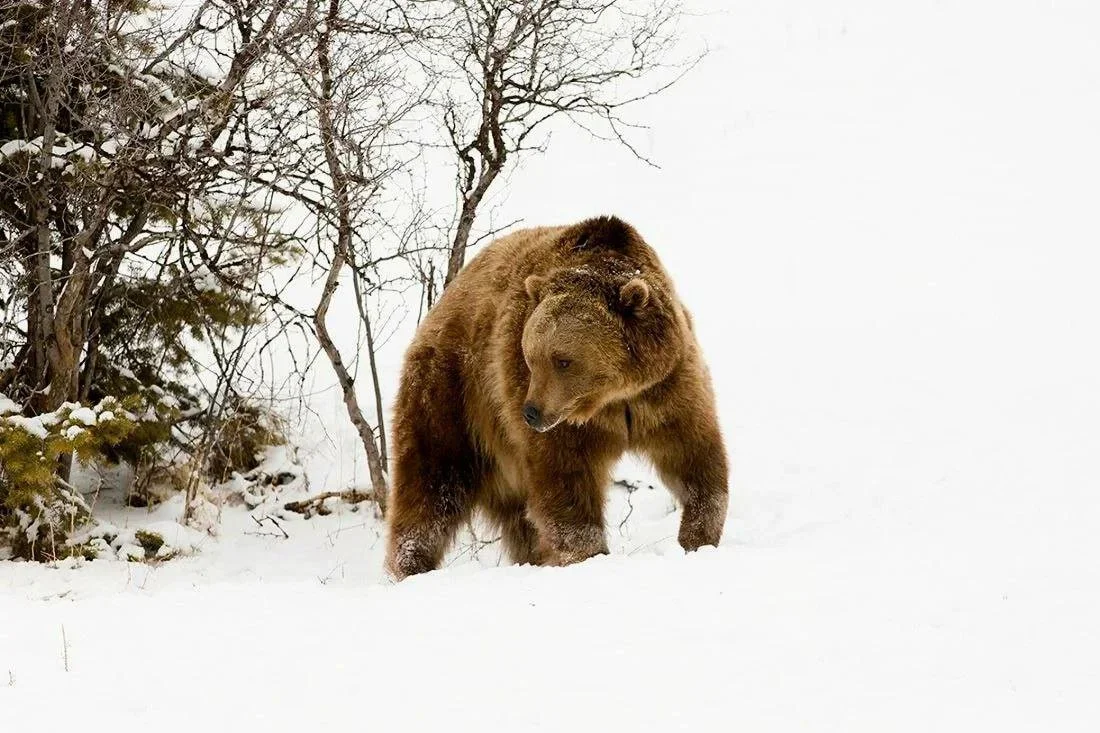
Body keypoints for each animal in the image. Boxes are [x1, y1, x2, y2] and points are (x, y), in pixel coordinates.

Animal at [385, 215, 728, 579]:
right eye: (530, 356)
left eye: (563, 360)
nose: (531, 413)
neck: (612, 398)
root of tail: (441, 304)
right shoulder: (558, 420)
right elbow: (566, 483)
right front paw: (588, 555)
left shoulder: (666, 389)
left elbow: (695, 456)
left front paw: (697, 537)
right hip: (453, 394)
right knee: (432, 481)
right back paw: (412, 564)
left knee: (517, 518)